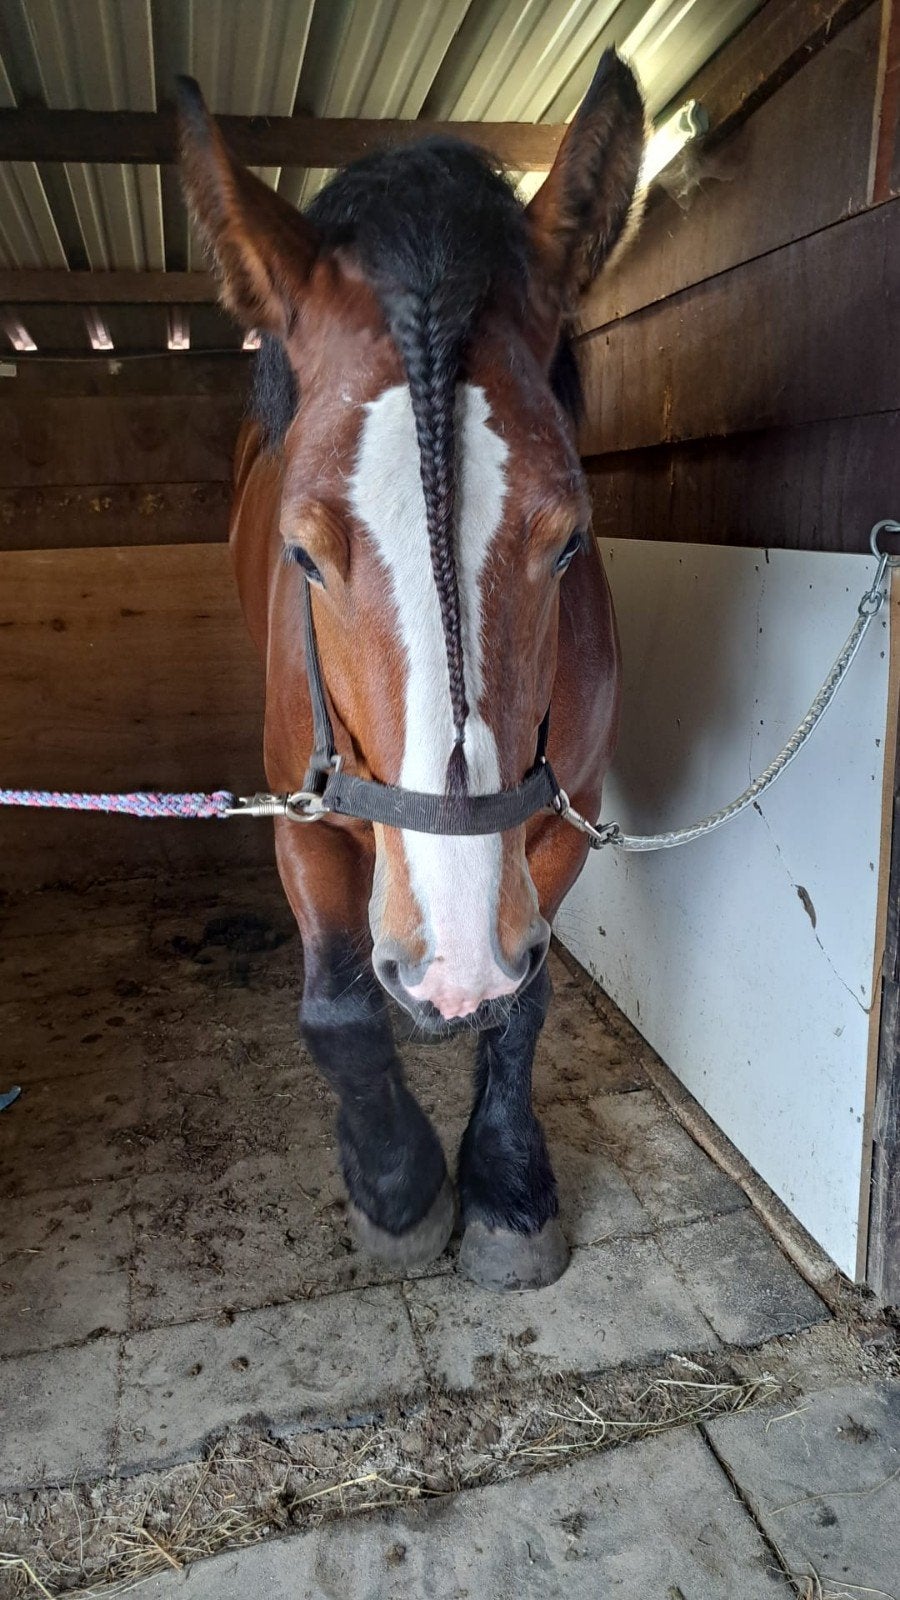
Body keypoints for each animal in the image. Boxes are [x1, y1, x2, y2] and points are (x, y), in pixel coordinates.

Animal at [177, 49, 645, 1292]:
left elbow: (527, 1003)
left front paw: (509, 1194)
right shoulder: (302, 811)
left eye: (569, 541)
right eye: (302, 555)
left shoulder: (562, 814)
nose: (452, 960)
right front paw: (395, 1190)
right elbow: (339, 1010)